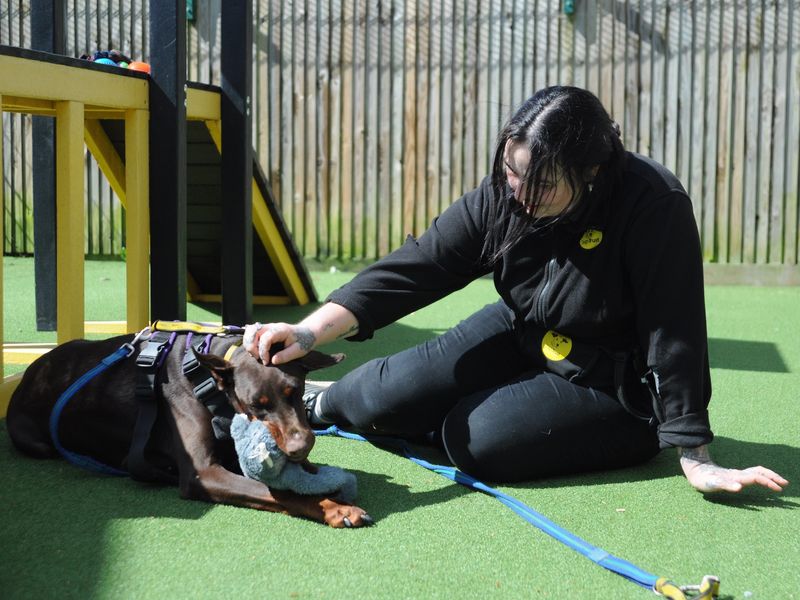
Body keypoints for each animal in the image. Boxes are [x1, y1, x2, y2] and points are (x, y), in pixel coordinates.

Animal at [4, 328, 374, 528]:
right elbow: (281, 492)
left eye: (295, 391)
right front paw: (336, 508)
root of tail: (27, 376)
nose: (300, 448)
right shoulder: (204, 473)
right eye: (257, 405)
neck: (209, 384)